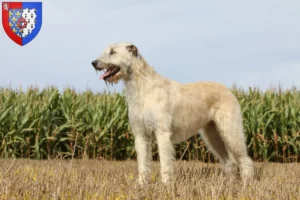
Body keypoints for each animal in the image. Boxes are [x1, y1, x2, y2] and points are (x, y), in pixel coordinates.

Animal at [91, 41, 253, 184]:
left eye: (113, 52)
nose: (93, 62)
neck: (142, 86)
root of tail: (229, 90)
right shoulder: (141, 134)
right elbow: (143, 163)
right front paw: (141, 185)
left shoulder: (162, 133)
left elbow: (165, 162)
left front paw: (166, 185)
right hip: (212, 134)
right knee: (229, 161)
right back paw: (229, 184)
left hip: (230, 131)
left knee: (244, 159)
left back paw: (246, 183)